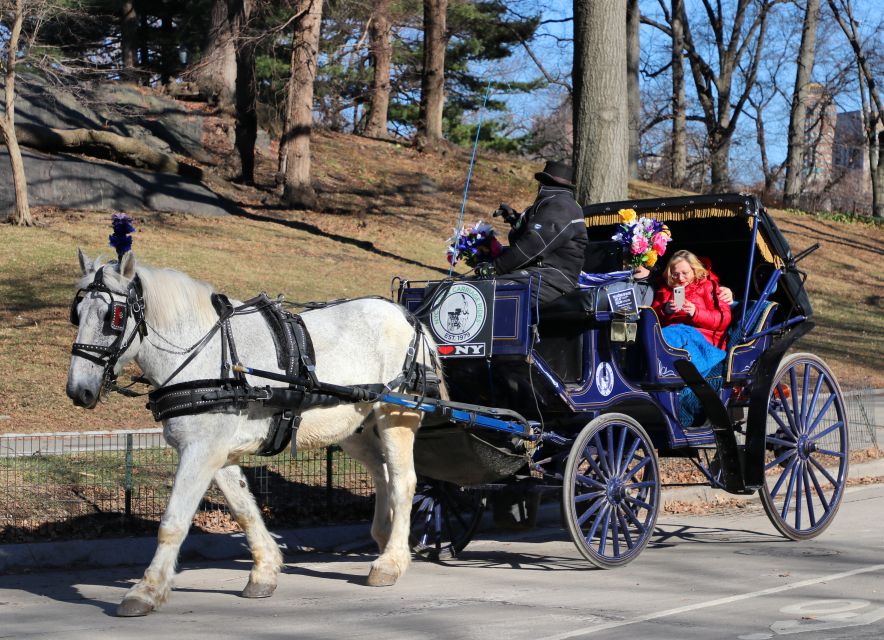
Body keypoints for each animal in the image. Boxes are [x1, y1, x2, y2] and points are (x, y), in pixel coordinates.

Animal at [65, 250, 442, 616]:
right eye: (77, 314)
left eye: (112, 317)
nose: (78, 390)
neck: (207, 356)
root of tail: (407, 316)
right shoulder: (216, 452)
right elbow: (244, 509)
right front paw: (265, 571)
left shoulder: (201, 451)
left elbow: (173, 522)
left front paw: (146, 590)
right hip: (354, 429)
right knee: (382, 474)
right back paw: (384, 538)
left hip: (397, 416)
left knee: (403, 480)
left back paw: (391, 562)